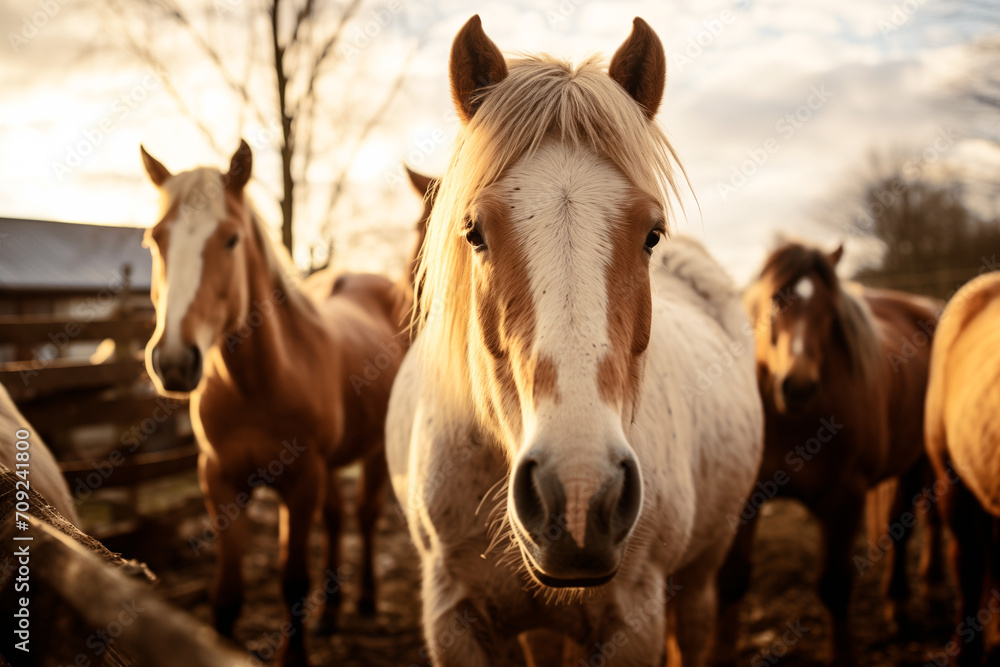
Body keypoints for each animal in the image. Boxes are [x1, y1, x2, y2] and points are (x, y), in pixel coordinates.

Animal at [139, 141, 409, 665]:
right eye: (156, 239)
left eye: (231, 239)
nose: (175, 361)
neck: (256, 386)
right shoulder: (220, 479)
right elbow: (227, 594)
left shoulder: (300, 482)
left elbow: (292, 581)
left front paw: (295, 655)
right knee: (337, 520)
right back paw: (331, 615)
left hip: (371, 455)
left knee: (365, 516)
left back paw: (366, 600)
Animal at [386, 16, 763, 666]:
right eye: (474, 232)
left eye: (652, 233)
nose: (582, 498)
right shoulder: (453, 616)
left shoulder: (634, 619)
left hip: (704, 565)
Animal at [721, 241, 945, 665]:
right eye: (775, 300)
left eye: (829, 309)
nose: (798, 386)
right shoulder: (747, 498)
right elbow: (732, 578)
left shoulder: (845, 499)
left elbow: (834, 586)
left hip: (918, 461)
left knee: (909, 525)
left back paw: (905, 604)